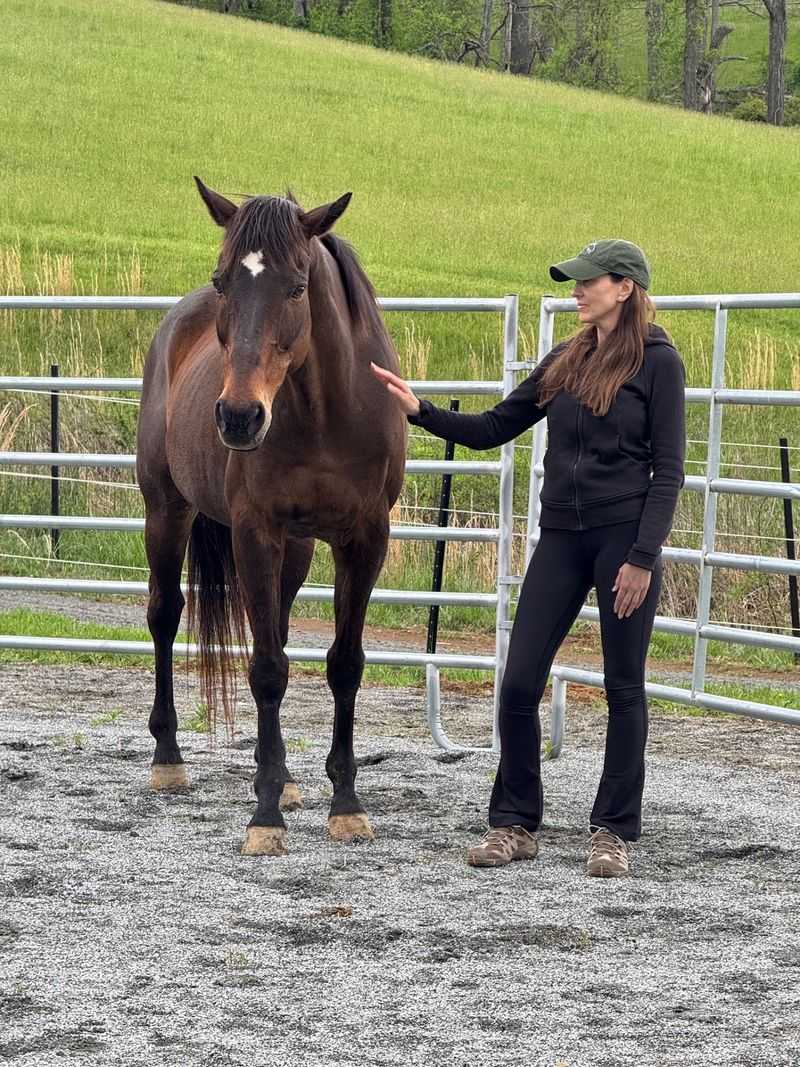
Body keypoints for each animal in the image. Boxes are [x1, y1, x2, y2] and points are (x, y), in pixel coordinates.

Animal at [135, 177, 407, 856]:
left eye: (297, 287)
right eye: (225, 278)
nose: (238, 416)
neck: (326, 414)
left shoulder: (365, 539)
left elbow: (344, 664)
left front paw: (345, 804)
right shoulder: (255, 532)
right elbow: (265, 669)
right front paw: (264, 817)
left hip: (298, 548)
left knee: (277, 630)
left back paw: (283, 779)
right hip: (165, 510)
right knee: (164, 615)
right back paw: (169, 758)